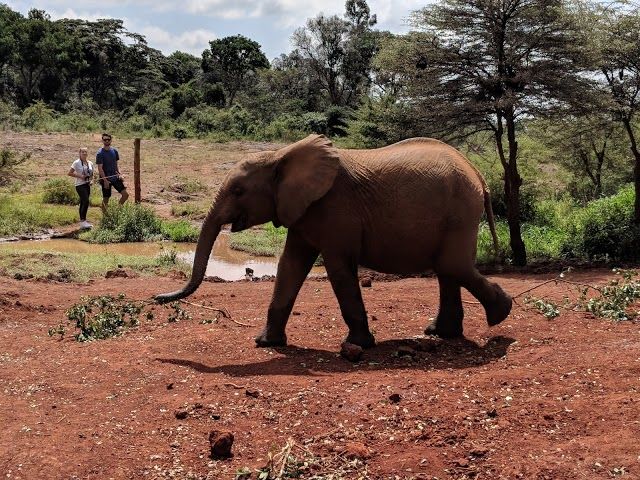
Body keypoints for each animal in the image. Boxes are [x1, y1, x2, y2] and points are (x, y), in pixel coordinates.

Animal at [156, 134, 512, 348]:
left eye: (239, 191)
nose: (156, 299)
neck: (280, 155)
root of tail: (478, 174)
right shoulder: (302, 211)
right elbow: (290, 266)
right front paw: (266, 343)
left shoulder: (335, 210)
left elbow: (339, 269)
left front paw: (357, 345)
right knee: (448, 269)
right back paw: (441, 333)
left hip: (461, 210)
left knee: (452, 266)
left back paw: (500, 315)